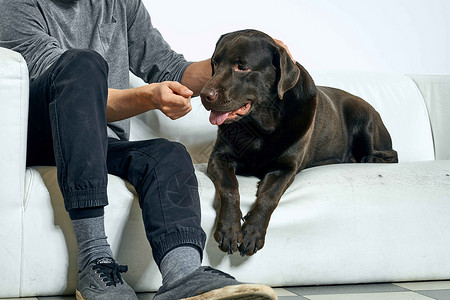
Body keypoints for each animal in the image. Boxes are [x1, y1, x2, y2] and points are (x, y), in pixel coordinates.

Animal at [200, 29, 398, 256]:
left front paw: (252, 232)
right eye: (215, 64)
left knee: (391, 154)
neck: (260, 126)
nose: (204, 95)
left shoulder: (285, 168)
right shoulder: (219, 157)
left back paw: (367, 159)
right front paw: (229, 230)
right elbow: (229, 188)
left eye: (242, 67)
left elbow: (269, 196)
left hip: (364, 118)